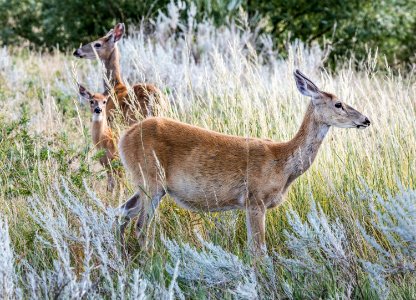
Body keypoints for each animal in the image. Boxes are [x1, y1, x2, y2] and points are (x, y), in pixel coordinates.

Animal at [116, 70, 370, 253]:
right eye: (338, 104)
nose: (366, 120)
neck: (283, 165)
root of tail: (124, 137)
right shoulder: (254, 199)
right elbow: (258, 250)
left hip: (145, 184)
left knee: (121, 213)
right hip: (151, 180)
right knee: (141, 227)